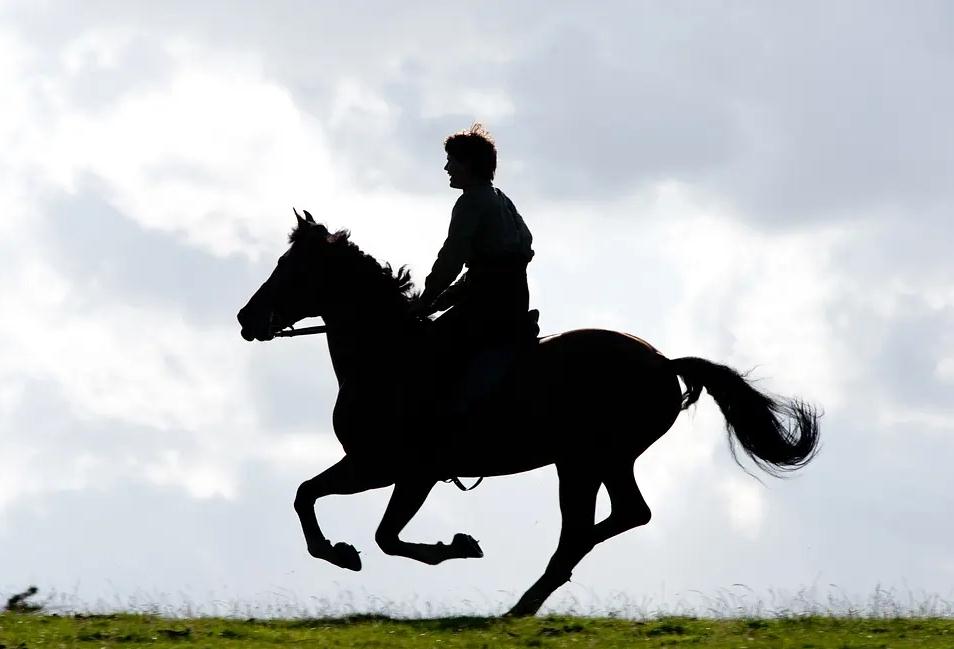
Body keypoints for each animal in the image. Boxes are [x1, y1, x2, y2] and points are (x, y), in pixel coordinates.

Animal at [236, 211, 820, 616]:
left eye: (291, 270)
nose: (246, 319)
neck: (391, 357)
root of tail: (663, 362)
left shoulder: (402, 471)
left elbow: (383, 535)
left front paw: (455, 547)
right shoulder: (371, 465)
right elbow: (307, 495)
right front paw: (338, 552)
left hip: (585, 461)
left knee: (585, 528)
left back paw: (524, 600)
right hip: (598, 461)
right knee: (620, 517)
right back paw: (532, 597)